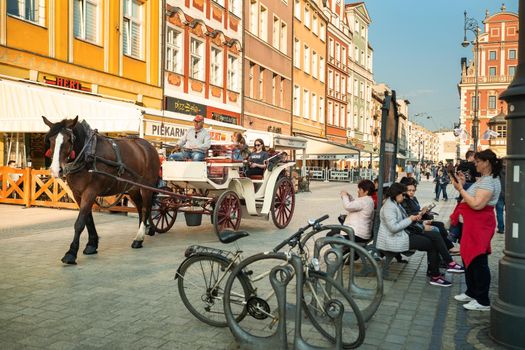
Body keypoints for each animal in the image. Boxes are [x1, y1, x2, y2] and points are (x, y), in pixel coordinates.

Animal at [43, 116, 160, 264]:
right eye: (51, 140)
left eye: (69, 139)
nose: (55, 170)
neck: (87, 154)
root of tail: (149, 146)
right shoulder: (78, 194)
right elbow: (87, 219)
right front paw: (92, 244)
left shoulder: (90, 192)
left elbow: (79, 222)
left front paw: (71, 253)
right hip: (133, 188)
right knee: (140, 207)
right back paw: (142, 232)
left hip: (146, 187)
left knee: (145, 208)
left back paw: (139, 237)